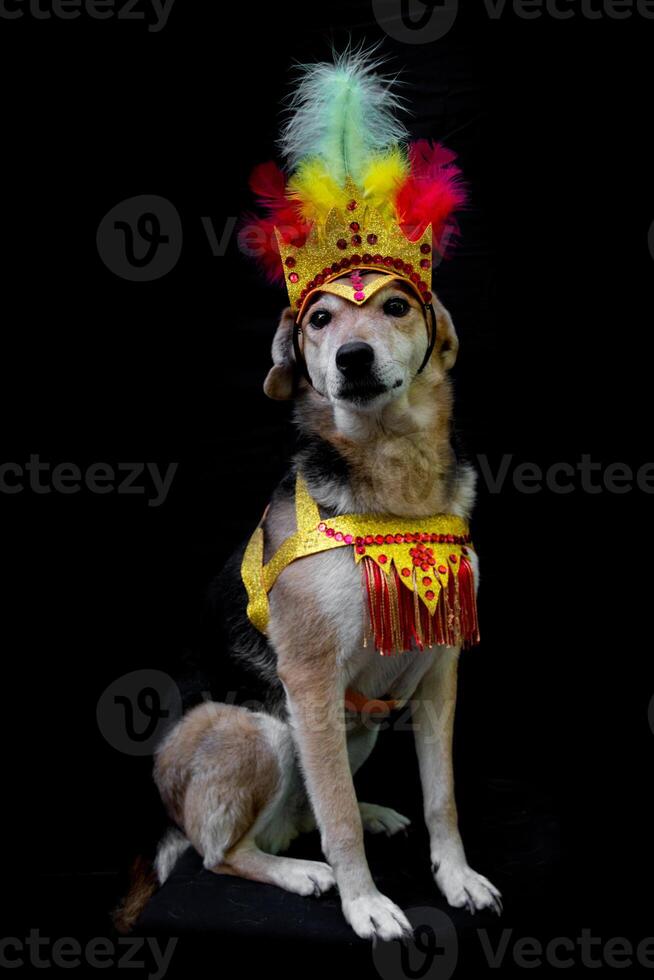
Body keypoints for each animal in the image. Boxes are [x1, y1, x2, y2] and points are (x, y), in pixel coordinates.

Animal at [118, 270, 504, 940]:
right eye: (320, 319)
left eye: (396, 307)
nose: (353, 358)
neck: (391, 470)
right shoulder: (311, 676)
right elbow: (338, 820)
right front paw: (365, 904)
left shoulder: (439, 669)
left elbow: (441, 797)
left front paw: (457, 878)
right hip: (263, 729)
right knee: (224, 852)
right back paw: (301, 873)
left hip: (362, 724)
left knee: (305, 813)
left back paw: (368, 814)